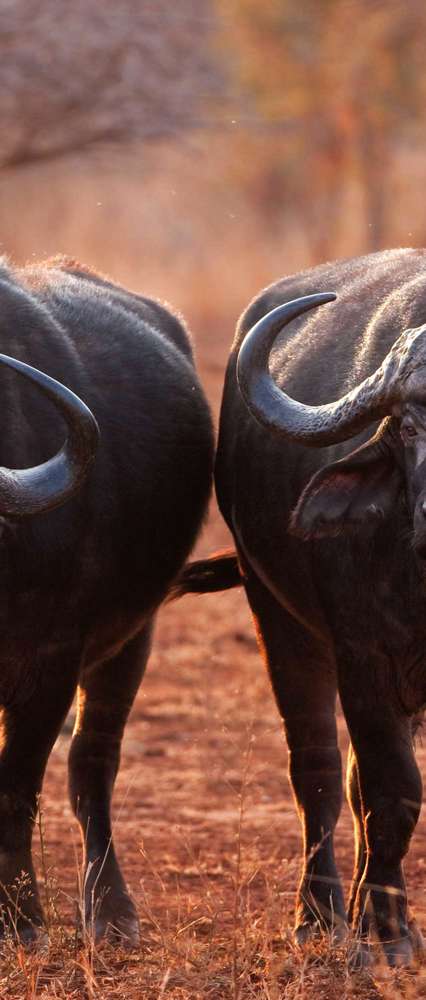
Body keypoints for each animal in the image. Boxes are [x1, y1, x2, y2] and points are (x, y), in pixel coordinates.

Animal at [0, 256, 213, 944]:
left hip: (134, 638)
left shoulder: (51, 663)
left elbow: (17, 787)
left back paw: (111, 912)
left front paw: (20, 921)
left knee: (91, 766)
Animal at [176, 250, 426, 968]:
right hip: (278, 618)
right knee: (320, 770)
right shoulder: (364, 655)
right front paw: (392, 938)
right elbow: (393, 791)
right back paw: (322, 917)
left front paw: (389, 923)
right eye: (411, 424)